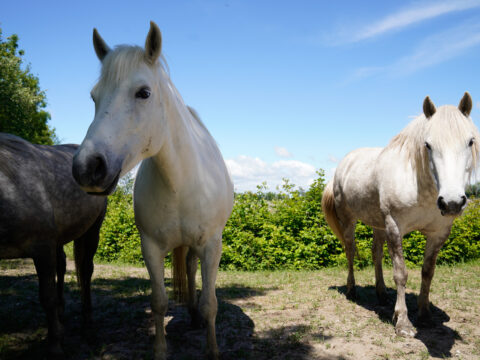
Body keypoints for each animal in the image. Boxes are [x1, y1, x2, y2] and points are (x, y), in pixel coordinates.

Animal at [0, 134, 107, 358]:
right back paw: (62, 313)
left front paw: (55, 344)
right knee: (63, 265)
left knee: (86, 272)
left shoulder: (42, 249)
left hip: (92, 230)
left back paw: (88, 324)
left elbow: (46, 298)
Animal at [71, 21, 234, 358]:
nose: (86, 167)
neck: (181, 183)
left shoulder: (212, 246)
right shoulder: (151, 247)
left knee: (192, 271)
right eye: (94, 96)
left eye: (143, 93)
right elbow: (158, 303)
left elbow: (211, 303)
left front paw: (212, 349)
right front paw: (160, 349)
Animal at [322, 93, 480, 338]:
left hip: (378, 224)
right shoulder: (395, 228)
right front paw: (403, 322)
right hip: (349, 220)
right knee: (350, 251)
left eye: (470, 141)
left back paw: (381, 294)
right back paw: (351, 290)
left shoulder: (438, 233)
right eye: (428, 144)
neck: (419, 186)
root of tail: (342, 166)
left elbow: (427, 272)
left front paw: (424, 315)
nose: (452, 202)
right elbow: (401, 273)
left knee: (376, 253)